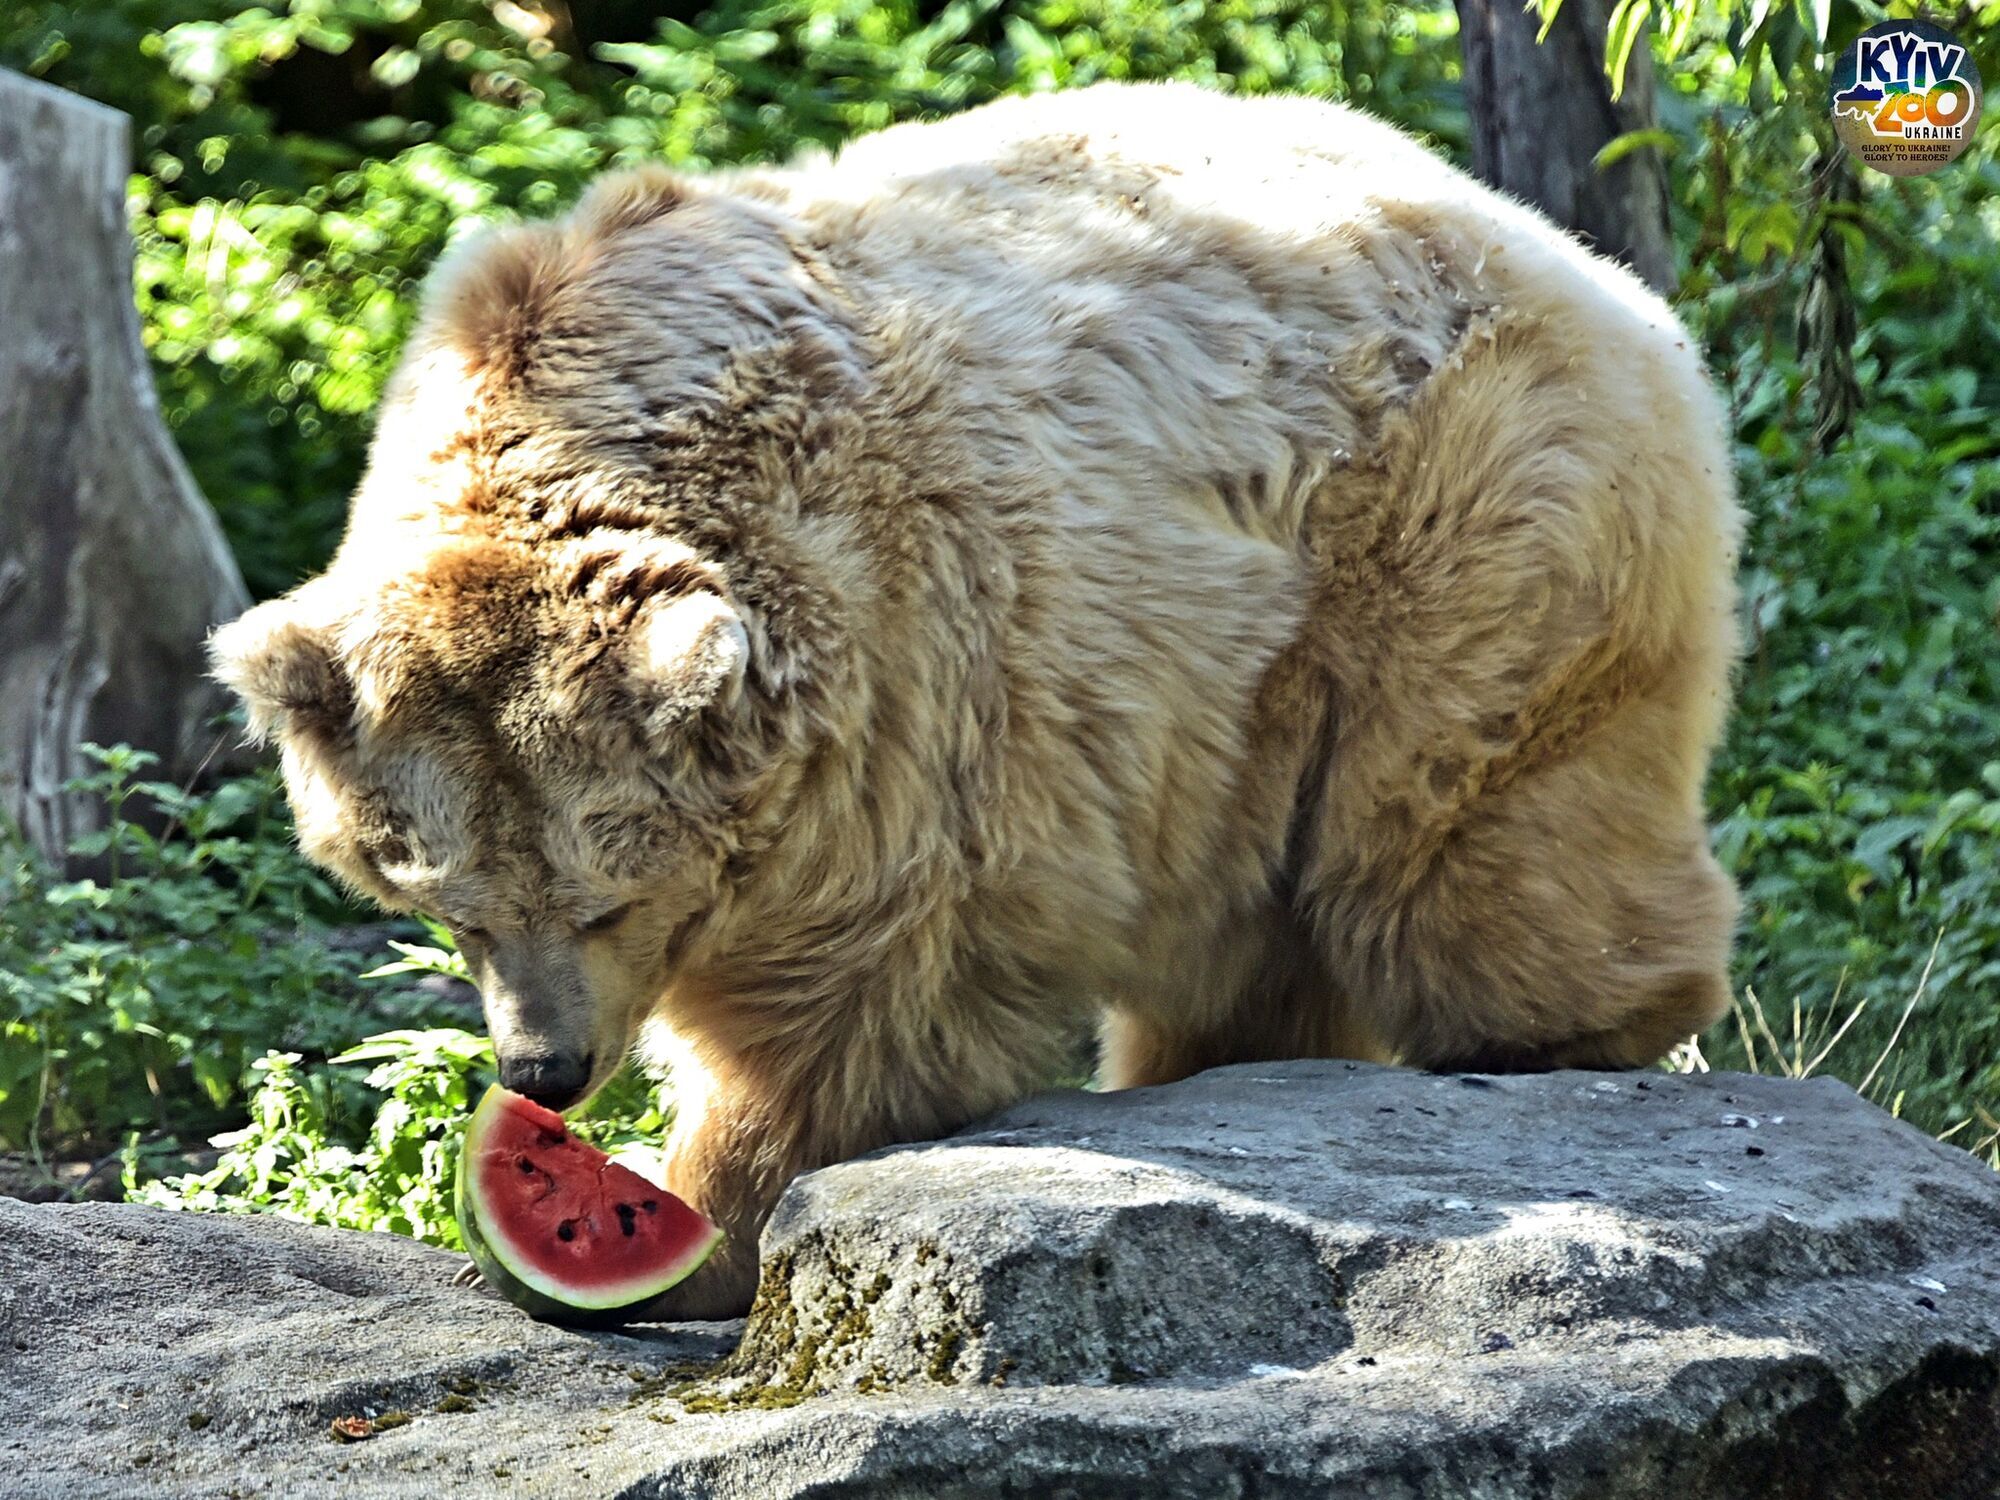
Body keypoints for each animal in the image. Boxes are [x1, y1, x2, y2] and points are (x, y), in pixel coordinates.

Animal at [215, 82, 1736, 1312]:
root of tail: (1576, 259)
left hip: (1454, 524)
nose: (543, 1075)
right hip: (1249, 707)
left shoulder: (916, 673)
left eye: (604, 900)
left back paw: (1558, 1027)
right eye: (449, 907)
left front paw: (705, 1211)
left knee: (1465, 830)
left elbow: (859, 991)